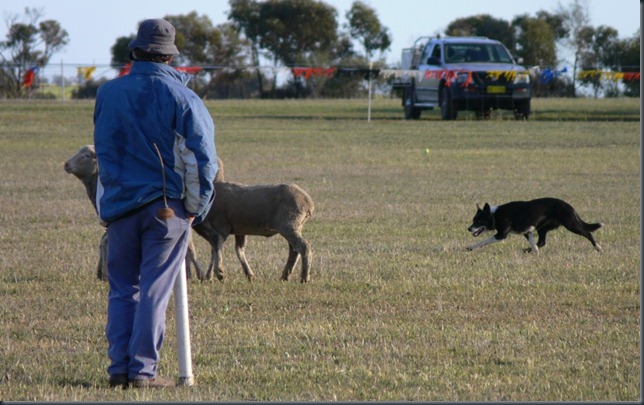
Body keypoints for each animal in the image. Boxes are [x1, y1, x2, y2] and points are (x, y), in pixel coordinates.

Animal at [468, 197, 604, 254]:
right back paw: (526, 250)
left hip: (571, 224)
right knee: (542, 242)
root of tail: (570, 206)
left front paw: (470, 247)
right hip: (542, 228)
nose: (468, 228)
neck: (494, 215)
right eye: (473, 220)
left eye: (478, 221)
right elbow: (534, 245)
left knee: (588, 233)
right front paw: (536, 254)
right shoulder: (527, 232)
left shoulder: (501, 235)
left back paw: (598, 248)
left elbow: (483, 241)